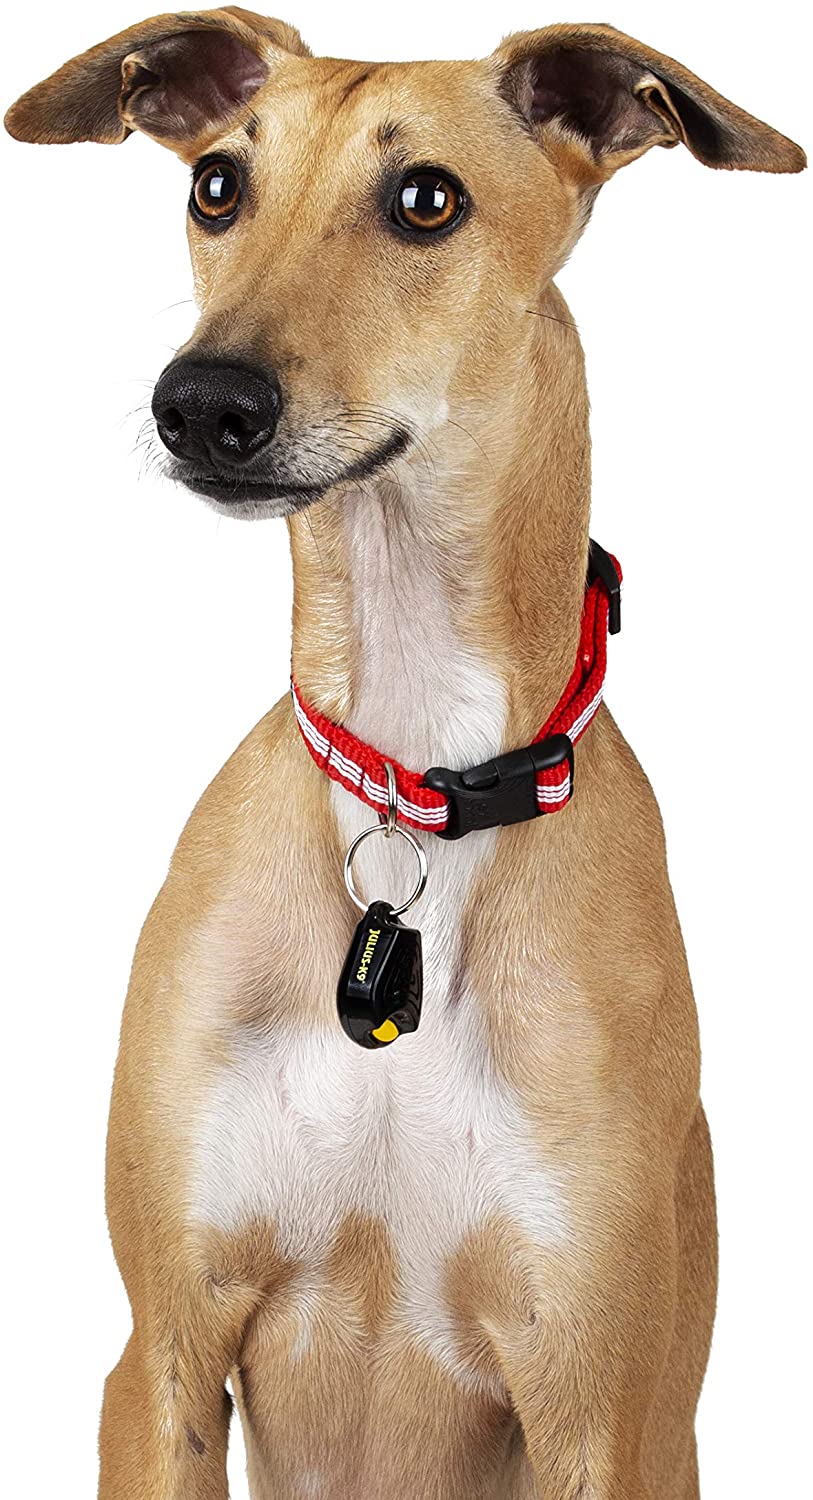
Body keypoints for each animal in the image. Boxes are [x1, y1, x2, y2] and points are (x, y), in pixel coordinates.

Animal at [6, 12, 805, 1498]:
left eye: (426, 199)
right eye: (216, 186)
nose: (202, 403)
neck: (419, 770)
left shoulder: (603, 1407)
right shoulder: (160, 1360)